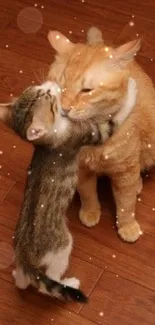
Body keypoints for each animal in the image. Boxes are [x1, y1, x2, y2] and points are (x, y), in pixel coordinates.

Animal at [0, 81, 100, 302]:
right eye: (47, 95)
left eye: (38, 88)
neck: (48, 139)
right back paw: (69, 282)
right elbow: (108, 124)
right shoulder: (82, 134)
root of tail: (24, 254)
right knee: (48, 282)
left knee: (25, 281)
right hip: (62, 246)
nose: (51, 84)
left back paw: (18, 277)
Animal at [47, 27, 155, 240]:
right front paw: (90, 211)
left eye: (86, 90)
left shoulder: (126, 171)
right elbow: (87, 192)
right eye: (60, 86)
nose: (65, 108)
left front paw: (127, 226)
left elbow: (126, 203)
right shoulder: (81, 168)